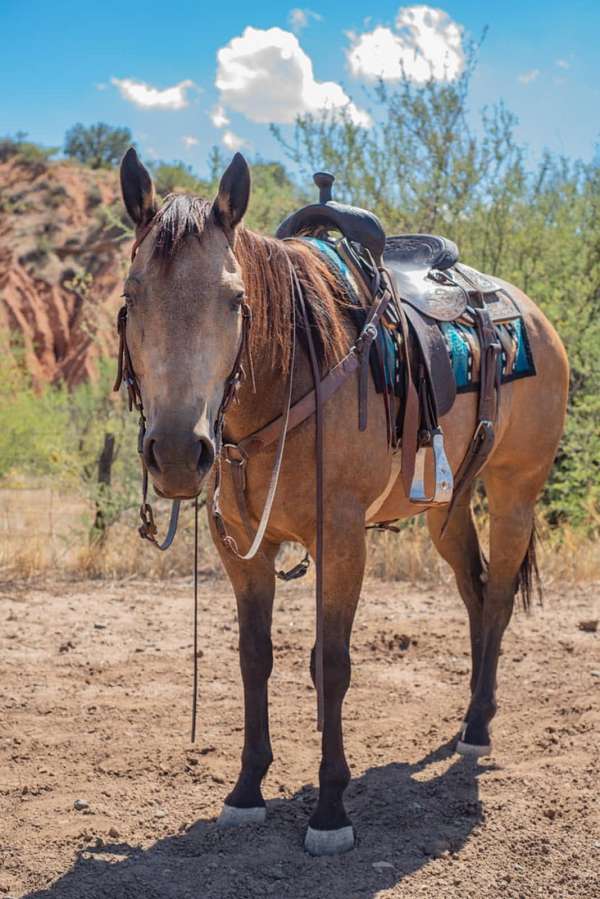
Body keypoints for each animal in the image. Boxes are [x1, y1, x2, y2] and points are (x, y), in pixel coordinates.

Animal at [116, 149, 568, 856]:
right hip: (448, 507)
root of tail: (533, 317)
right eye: (132, 297)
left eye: (235, 300)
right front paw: (246, 791)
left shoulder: (343, 540)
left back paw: (477, 729)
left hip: (515, 490)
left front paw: (330, 809)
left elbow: (330, 664)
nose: (178, 453)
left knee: (496, 599)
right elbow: (255, 659)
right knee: (474, 590)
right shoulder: (240, 548)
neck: (287, 376)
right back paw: (471, 712)